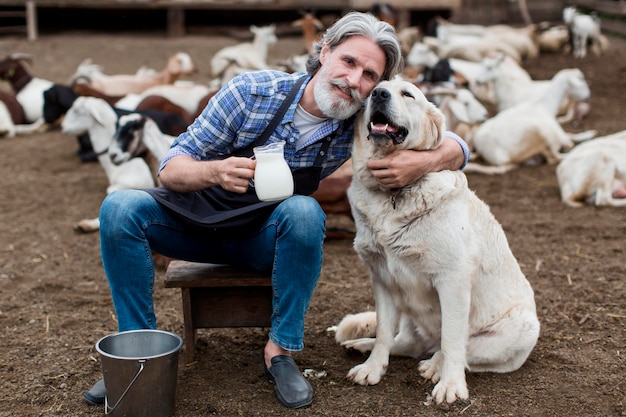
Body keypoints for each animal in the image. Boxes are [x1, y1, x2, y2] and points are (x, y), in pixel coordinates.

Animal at [334, 78, 540, 404]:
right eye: (372, 92)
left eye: (407, 94)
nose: (379, 94)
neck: (393, 193)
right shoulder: (383, 279)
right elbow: (384, 333)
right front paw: (372, 368)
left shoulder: (452, 281)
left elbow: (454, 340)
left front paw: (451, 386)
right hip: (408, 311)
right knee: (407, 343)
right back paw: (364, 345)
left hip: (520, 328)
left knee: (461, 350)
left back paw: (435, 365)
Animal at [464, 67, 596, 173]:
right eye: (582, 80)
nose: (587, 96)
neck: (544, 106)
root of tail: (481, 147)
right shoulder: (555, 133)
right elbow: (569, 139)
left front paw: (589, 134)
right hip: (538, 134)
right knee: (554, 157)